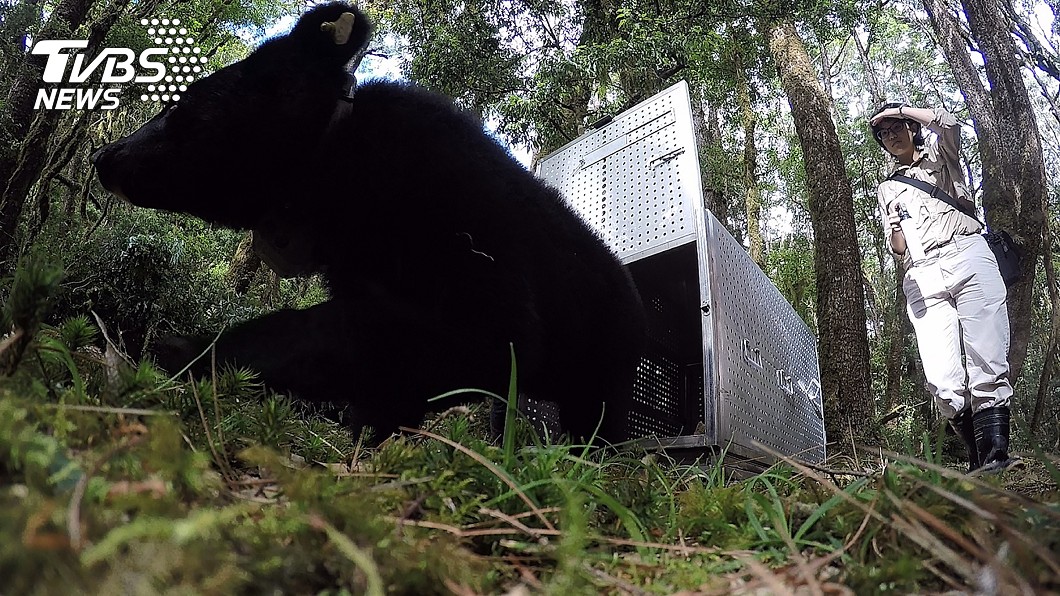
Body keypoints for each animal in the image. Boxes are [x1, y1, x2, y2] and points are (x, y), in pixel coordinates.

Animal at [92, 2, 647, 444]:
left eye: (187, 103)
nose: (105, 156)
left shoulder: (468, 239)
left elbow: (432, 336)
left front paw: (186, 350)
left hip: (605, 360)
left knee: (596, 422)